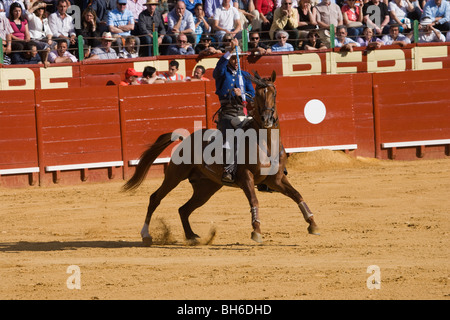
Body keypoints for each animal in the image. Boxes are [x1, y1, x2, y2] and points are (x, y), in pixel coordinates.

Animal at [123, 70, 320, 245]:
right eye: (257, 94)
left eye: (274, 93)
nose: (266, 118)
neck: (265, 143)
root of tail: (186, 138)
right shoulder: (246, 177)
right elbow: (254, 201)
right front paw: (256, 231)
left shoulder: (276, 179)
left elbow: (297, 195)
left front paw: (313, 224)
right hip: (175, 175)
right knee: (155, 199)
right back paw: (146, 234)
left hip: (206, 187)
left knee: (184, 209)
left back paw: (192, 237)